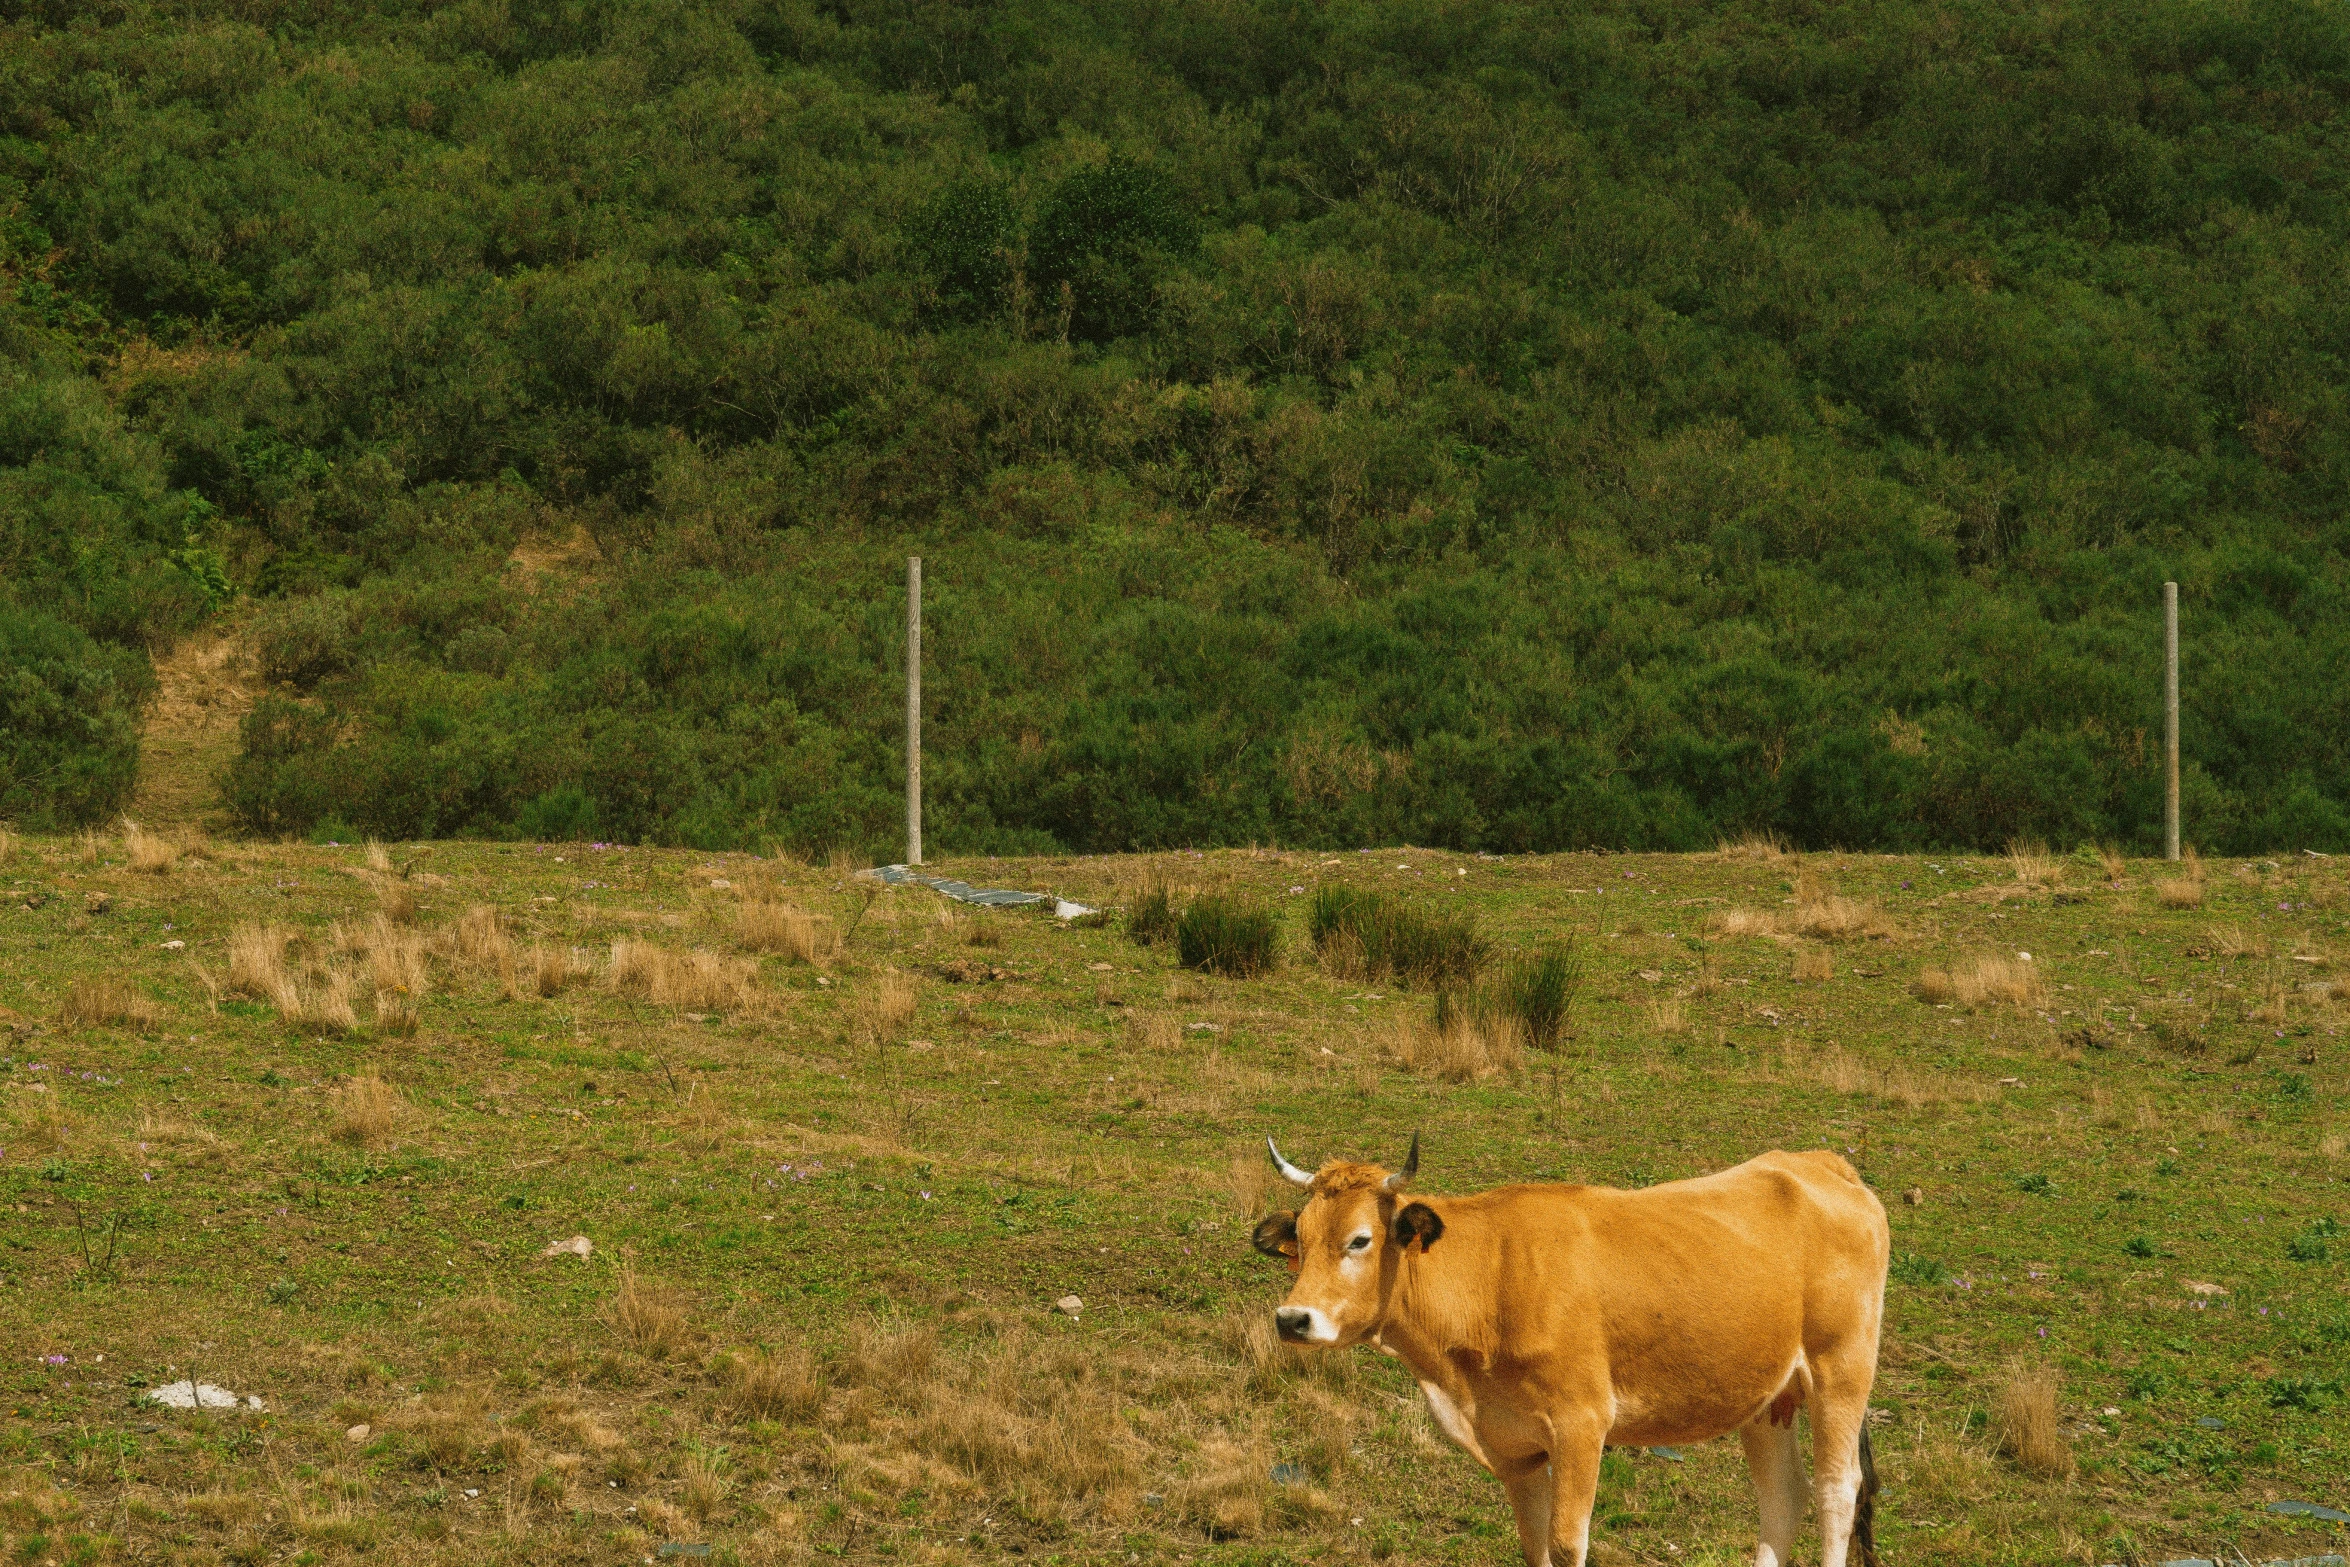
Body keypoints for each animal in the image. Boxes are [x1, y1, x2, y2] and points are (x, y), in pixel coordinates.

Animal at [1250, 1141, 1889, 1567]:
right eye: (1299, 1239)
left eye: (1360, 1239)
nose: (1292, 1318)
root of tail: (1817, 1161)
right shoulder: (1514, 1445)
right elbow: (1535, 1546)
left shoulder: (1582, 1423)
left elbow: (1565, 1542)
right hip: (1766, 1395)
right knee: (1783, 1496)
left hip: (1841, 1370)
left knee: (1837, 1490)